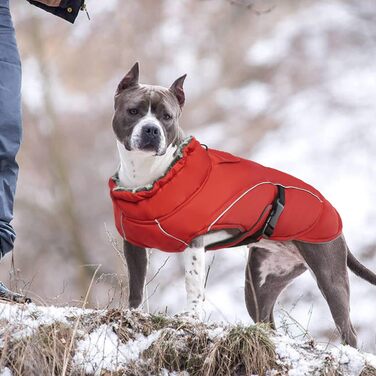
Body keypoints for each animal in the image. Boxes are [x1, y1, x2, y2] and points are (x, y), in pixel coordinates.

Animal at [111, 63, 376, 348]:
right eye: (134, 111)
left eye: (167, 117)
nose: (151, 129)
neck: (150, 175)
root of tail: (335, 216)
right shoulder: (134, 244)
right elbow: (136, 286)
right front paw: (134, 313)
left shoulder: (197, 241)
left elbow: (192, 283)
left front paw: (190, 316)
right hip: (260, 283)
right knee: (266, 319)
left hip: (329, 276)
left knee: (347, 330)